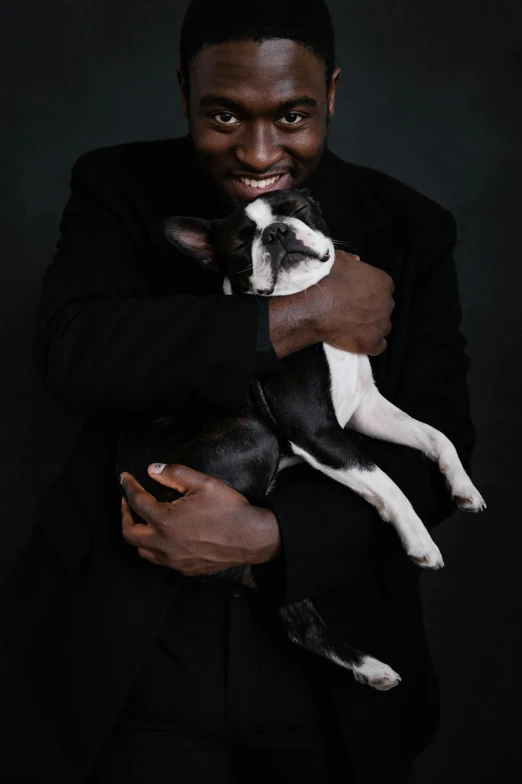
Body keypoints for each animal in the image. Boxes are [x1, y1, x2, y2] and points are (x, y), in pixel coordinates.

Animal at [116, 187, 482, 688]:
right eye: (240, 243)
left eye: (297, 209)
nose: (275, 233)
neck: (312, 304)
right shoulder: (315, 430)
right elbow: (383, 479)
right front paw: (419, 541)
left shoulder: (366, 409)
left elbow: (436, 435)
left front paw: (463, 487)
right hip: (254, 435)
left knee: (294, 616)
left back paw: (369, 668)